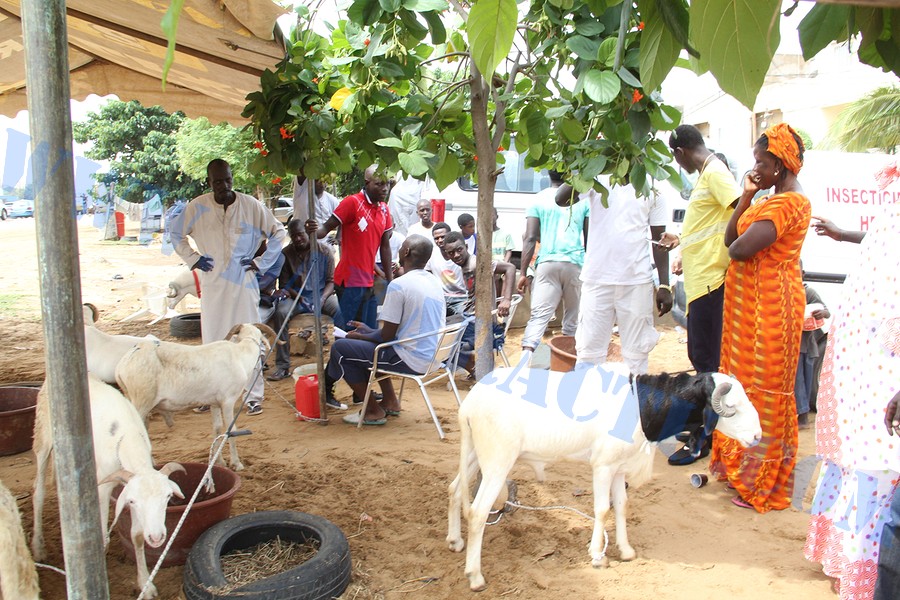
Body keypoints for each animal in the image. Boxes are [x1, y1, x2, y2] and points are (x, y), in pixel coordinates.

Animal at [31, 376, 185, 596]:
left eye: (167, 497)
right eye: (133, 501)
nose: (156, 537)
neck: (127, 436)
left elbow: (137, 537)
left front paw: (145, 584)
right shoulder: (104, 488)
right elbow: (102, 536)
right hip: (43, 435)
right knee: (38, 491)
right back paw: (38, 547)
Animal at [116, 322, 278, 472]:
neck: (240, 355)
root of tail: (123, 365)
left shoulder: (215, 403)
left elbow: (217, 429)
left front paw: (219, 462)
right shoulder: (228, 401)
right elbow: (230, 430)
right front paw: (236, 464)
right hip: (142, 400)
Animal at [446, 360, 764, 592]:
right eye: (732, 408)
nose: (758, 436)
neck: (641, 407)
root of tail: (471, 403)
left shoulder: (618, 467)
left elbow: (621, 506)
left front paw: (626, 550)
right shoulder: (602, 466)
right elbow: (601, 509)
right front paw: (597, 556)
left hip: (474, 454)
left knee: (454, 489)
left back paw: (454, 541)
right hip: (497, 461)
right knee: (477, 512)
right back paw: (475, 576)